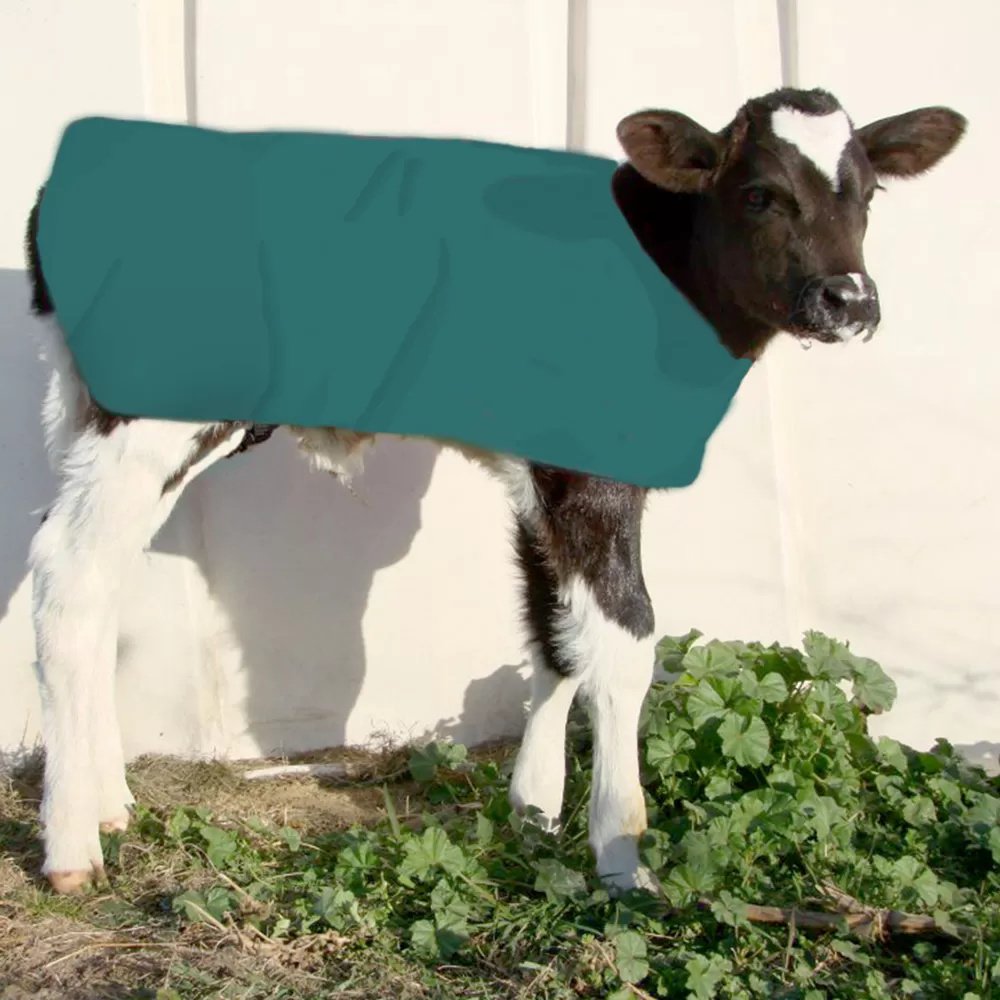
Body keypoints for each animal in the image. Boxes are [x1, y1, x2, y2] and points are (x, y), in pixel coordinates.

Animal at [23, 87, 966, 894]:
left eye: (870, 192)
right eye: (761, 194)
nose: (849, 300)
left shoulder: (540, 480)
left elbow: (554, 634)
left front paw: (536, 813)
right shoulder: (596, 477)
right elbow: (625, 644)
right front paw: (622, 855)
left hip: (90, 419)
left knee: (94, 581)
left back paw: (110, 806)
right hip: (149, 421)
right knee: (68, 575)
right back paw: (71, 848)